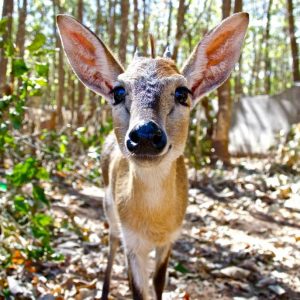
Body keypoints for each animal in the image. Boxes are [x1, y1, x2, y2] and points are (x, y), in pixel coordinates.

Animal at [56, 13, 248, 300]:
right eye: (118, 91)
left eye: (182, 92)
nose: (145, 134)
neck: (153, 223)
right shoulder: (132, 241)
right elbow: (137, 288)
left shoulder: (170, 239)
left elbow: (157, 284)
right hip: (108, 206)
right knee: (111, 241)